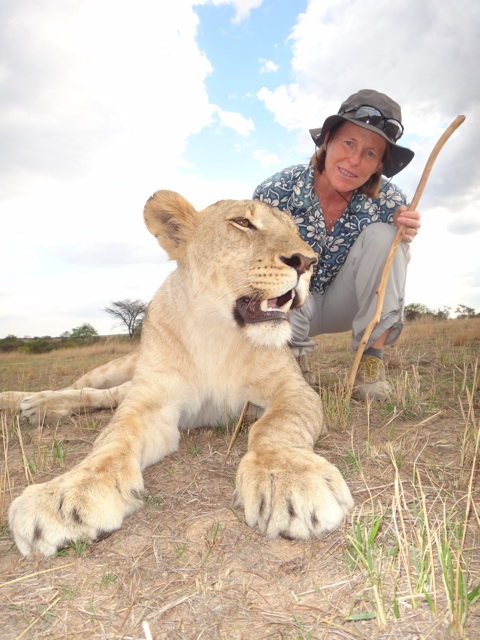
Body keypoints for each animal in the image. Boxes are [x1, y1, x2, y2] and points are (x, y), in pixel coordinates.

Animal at [6, 190, 353, 557]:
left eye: (295, 229)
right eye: (242, 222)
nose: (308, 262)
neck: (217, 330)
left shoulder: (292, 388)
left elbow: (277, 425)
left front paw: (288, 477)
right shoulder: (151, 398)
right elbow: (114, 436)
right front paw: (67, 492)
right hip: (122, 369)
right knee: (90, 390)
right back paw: (29, 401)